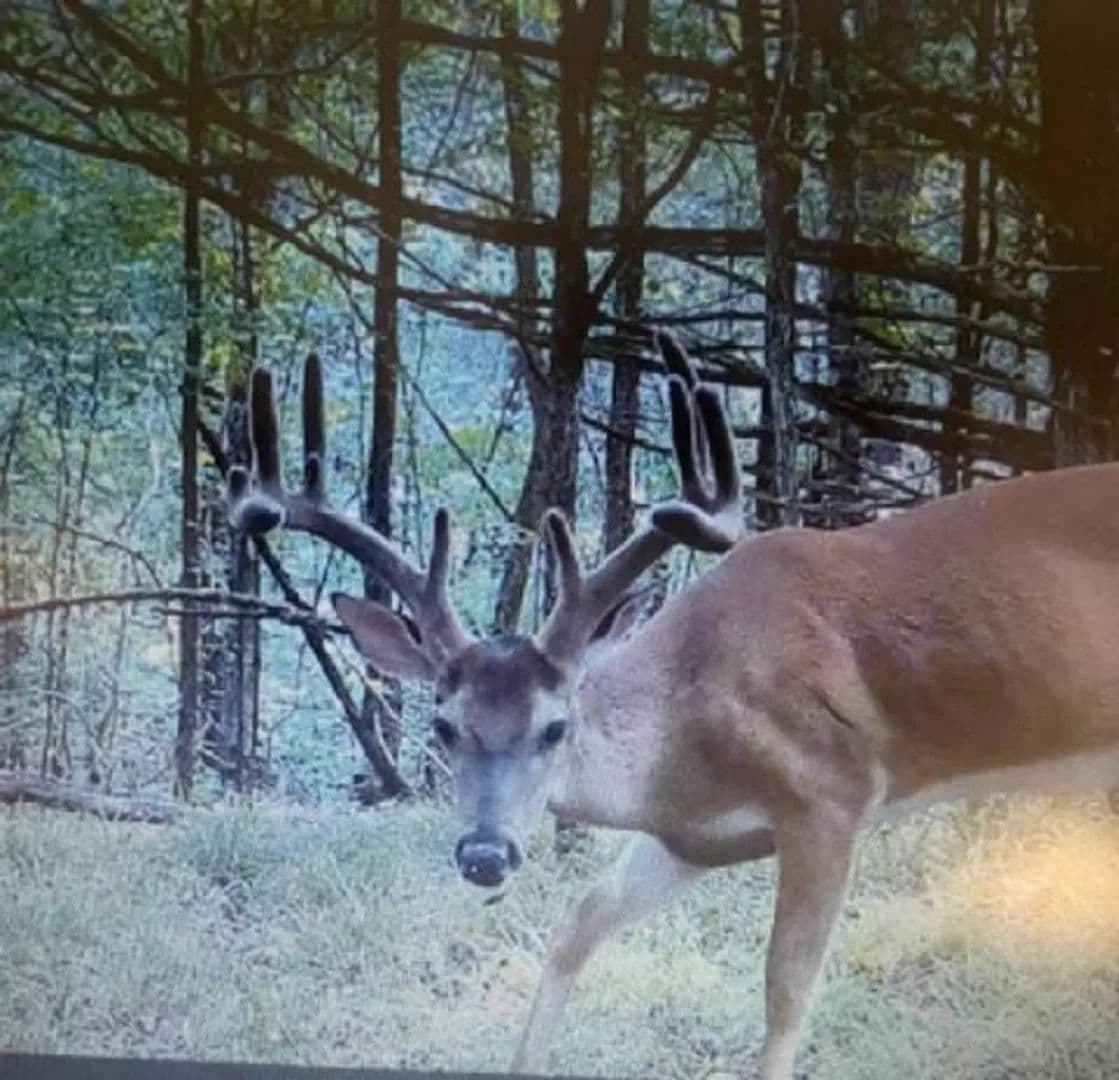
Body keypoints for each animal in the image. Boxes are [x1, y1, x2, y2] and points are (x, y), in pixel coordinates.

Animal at [229, 336, 1119, 1080]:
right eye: (443, 727)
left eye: (556, 726)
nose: (484, 853)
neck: (689, 723)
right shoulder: (688, 838)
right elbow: (577, 924)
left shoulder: (831, 795)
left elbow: (785, 993)